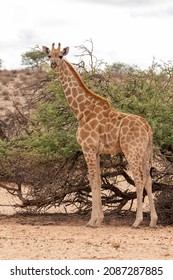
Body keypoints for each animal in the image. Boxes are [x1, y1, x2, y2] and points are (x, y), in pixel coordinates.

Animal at [42, 42, 157, 229]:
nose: (53, 64)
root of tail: (147, 127)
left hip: (132, 151)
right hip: (146, 152)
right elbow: (95, 180)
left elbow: (93, 180)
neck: (81, 111)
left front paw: (92, 221)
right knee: (148, 179)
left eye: (60, 56)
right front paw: (99, 219)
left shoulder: (87, 148)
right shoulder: (96, 151)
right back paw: (153, 221)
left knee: (139, 180)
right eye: (48, 55)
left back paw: (137, 221)